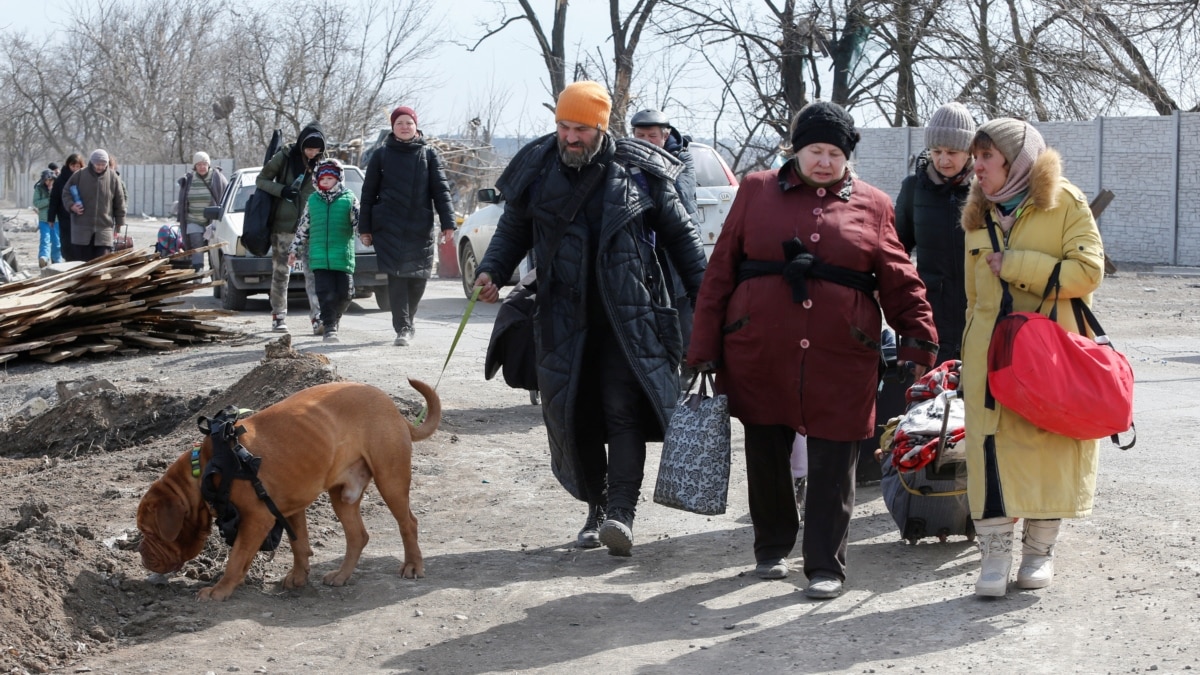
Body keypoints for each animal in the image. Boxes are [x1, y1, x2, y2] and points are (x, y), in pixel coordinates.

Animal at [137, 379, 441, 598]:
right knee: (358, 536)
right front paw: (299, 575)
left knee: (408, 523)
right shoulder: (289, 508)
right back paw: (342, 575)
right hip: (342, 495)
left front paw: (220, 590)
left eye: (148, 532)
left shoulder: (257, 519)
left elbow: (236, 559)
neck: (207, 467)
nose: (140, 553)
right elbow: (299, 545)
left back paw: (413, 565)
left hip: (390, 480)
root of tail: (392, 407)